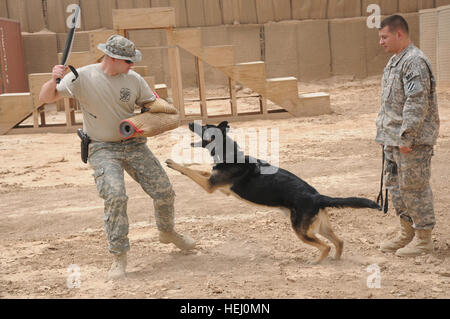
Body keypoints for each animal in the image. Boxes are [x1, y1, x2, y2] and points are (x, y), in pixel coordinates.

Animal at [165, 121, 380, 264]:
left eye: (205, 126)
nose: (189, 121)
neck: (228, 153)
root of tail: (316, 196)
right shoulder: (213, 180)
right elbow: (198, 170)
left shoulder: (209, 185)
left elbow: (191, 172)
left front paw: (173, 163)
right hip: (319, 227)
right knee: (339, 241)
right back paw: (336, 259)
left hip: (301, 231)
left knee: (325, 245)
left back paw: (317, 262)